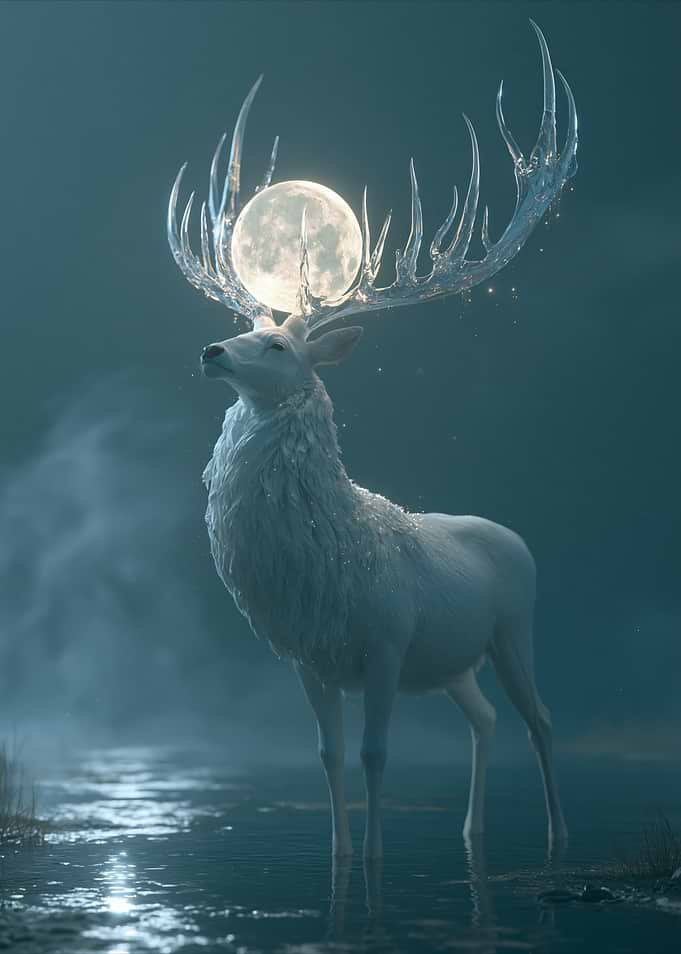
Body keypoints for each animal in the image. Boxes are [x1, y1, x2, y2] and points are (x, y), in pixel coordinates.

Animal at [167, 20, 578, 859]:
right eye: (244, 327)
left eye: (278, 346)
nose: (212, 351)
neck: (323, 560)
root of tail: (511, 534)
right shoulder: (308, 657)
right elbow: (327, 754)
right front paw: (339, 852)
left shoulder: (386, 642)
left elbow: (375, 753)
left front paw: (377, 859)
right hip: (453, 664)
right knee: (486, 718)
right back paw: (470, 831)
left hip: (513, 627)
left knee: (542, 719)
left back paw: (556, 834)